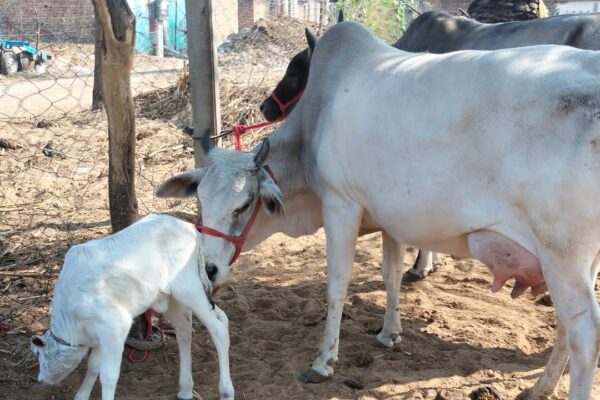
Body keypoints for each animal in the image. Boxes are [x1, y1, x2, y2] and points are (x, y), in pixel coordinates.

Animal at [30, 214, 233, 400]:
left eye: (39, 354)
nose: (41, 379)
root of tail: (191, 229)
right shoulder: (102, 334)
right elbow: (93, 366)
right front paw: (81, 396)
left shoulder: (115, 325)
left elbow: (108, 376)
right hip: (171, 299)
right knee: (188, 327)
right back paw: (185, 390)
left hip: (189, 288)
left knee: (218, 327)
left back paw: (226, 391)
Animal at [158, 22, 600, 400]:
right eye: (200, 202)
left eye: (244, 204)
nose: (209, 269)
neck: (314, 121)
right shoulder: (391, 219)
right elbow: (390, 274)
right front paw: (390, 333)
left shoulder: (340, 205)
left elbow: (337, 284)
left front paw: (323, 362)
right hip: (577, 262)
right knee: (566, 327)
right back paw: (539, 387)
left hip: (561, 255)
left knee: (584, 335)